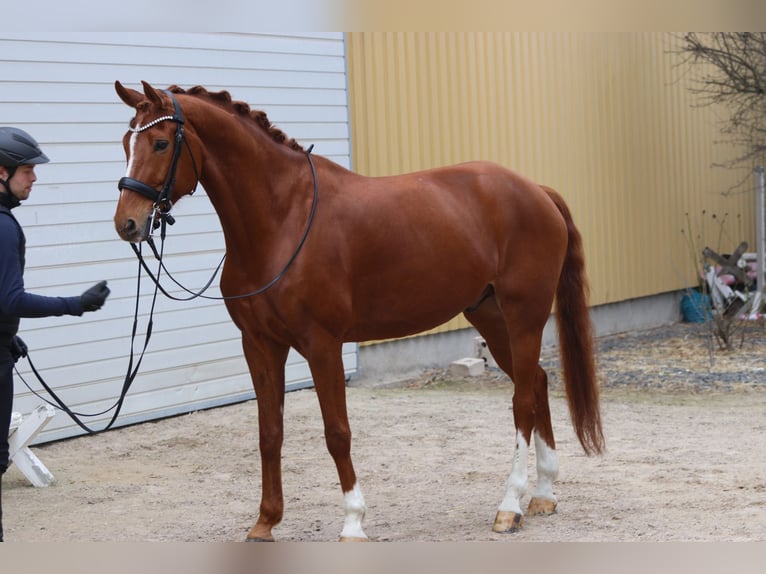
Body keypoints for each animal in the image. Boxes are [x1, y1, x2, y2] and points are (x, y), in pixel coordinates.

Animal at [114, 81, 608, 544]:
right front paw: (265, 522)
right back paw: (543, 493)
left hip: (524, 316)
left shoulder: (322, 344)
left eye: (161, 143)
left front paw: (353, 521)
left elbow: (337, 432)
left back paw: (510, 506)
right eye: (125, 143)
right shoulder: (259, 345)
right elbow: (269, 432)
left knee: (523, 401)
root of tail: (536, 190)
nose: (127, 224)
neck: (283, 220)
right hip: (490, 317)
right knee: (538, 384)